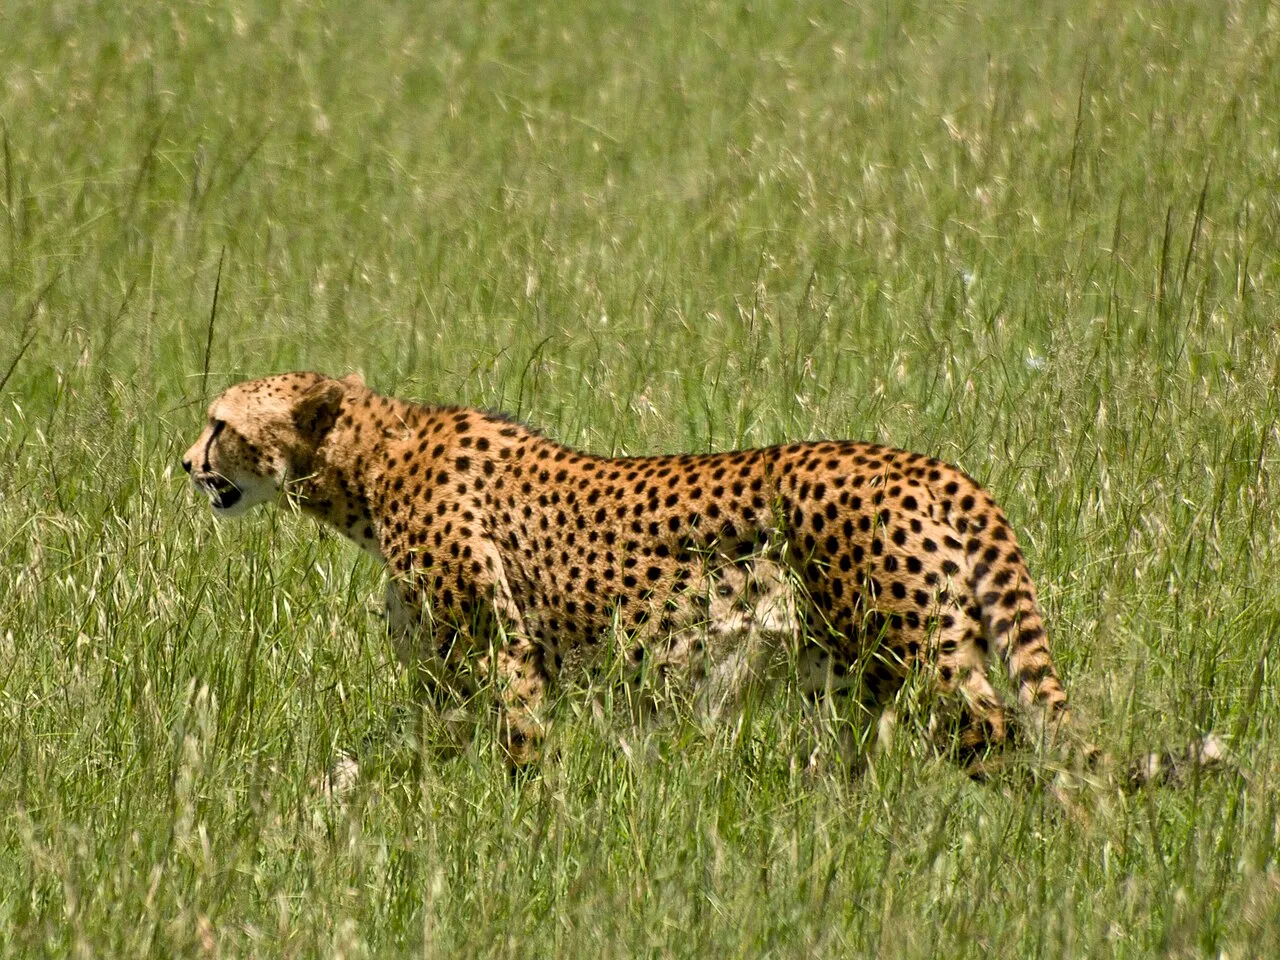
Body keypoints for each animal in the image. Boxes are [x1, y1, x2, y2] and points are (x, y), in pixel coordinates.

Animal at [182, 371, 1222, 788]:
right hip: (860, 671)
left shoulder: (502, 656)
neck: (363, 463)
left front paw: (521, 835)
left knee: (998, 731)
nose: (185, 464)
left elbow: (518, 753)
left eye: (220, 422)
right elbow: (387, 752)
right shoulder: (450, 682)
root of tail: (926, 463)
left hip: (919, 652)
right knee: (871, 756)